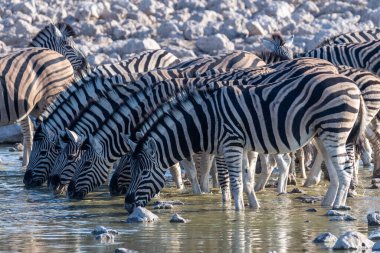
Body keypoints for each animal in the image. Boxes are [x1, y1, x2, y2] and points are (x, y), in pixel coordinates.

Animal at [63, 57, 340, 204]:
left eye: (85, 163)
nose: (70, 194)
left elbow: (188, 165)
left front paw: (201, 190)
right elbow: (198, 165)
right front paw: (204, 188)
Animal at [121, 69, 366, 213]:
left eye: (143, 173)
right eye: (132, 171)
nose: (128, 204)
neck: (206, 121)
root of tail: (352, 84)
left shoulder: (231, 144)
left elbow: (236, 183)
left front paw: (237, 214)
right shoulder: (240, 146)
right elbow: (247, 179)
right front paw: (253, 208)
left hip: (334, 129)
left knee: (344, 171)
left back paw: (338, 207)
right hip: (322, 134)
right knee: (334, 170)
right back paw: (327, 204)